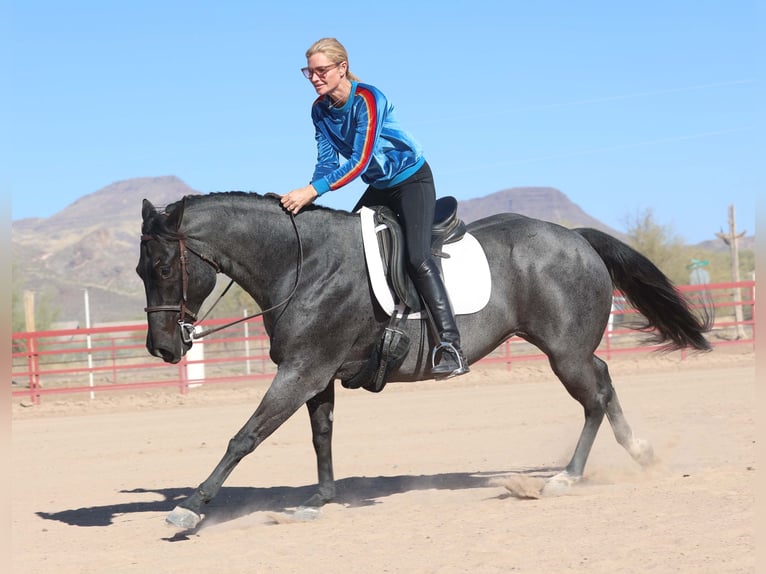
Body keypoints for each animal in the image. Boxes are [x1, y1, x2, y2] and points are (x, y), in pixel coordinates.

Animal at [136, 194, 712, 532]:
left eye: (162, 267)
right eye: (141, 270)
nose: (162, 348)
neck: (303, 264)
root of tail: (575, 236)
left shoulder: (302, 370)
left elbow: (245, 436)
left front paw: (191, 507)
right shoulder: (314, 374)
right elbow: (322, 436)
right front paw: (320, 499)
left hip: (564, 353)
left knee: (593, 398)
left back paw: (564, 479)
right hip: (569, 349)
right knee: (605, 383)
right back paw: (640, 452)